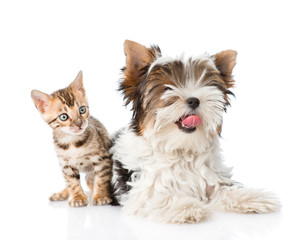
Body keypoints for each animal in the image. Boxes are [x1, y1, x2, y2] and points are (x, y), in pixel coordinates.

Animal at [31, 71, 112, 206]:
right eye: (63, 117)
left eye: (82, 109)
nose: (79, 124)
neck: (72, 142)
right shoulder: (66, 165)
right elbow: (72, 183)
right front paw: (78, 197)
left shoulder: (103, 159)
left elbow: (102, 178)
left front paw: (101, 196)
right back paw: (61, 194)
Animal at [110, 40, 280, 223]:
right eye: (167, 88)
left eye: (205, 85)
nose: (194, 100)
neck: (181, 149)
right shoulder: (142, 190)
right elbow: (159, 198)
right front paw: (187, 206)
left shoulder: (210, 177)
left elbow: (224, 189)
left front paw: (252, 197)